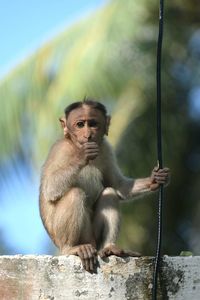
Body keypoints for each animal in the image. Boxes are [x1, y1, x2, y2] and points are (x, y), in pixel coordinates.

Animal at [39, 98, 170, 272]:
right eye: (80, 124)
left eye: (93, 123)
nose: (88, 135)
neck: (74, 145)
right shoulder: (60, 150)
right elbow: (51, 187)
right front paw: (83, 155)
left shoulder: (105, 148)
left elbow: (119, 185)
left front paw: (156, 179)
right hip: (73, 238)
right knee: (75, 194)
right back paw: (71, 248)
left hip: (93, 238)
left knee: (109, 192)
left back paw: (109, 247)